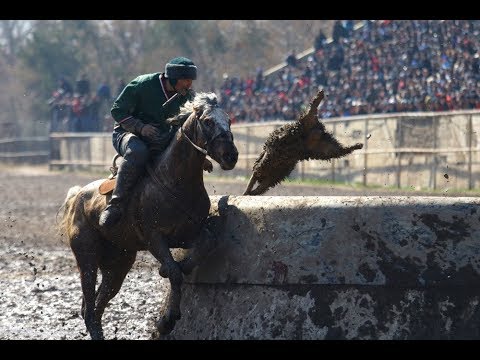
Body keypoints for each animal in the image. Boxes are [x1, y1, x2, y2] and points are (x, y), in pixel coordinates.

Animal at [59, 91, 239, 338]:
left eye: (229, 120)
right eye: (208, 121)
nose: (231, 155)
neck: (174, 182)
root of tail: (77, 196)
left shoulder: (190, 233)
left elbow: (201, 249)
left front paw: (173, 269)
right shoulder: (154, 238)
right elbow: (174, 272)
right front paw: (166, 322)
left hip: (118, 265)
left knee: (97, 305)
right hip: (87, 257)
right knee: (88, 303)